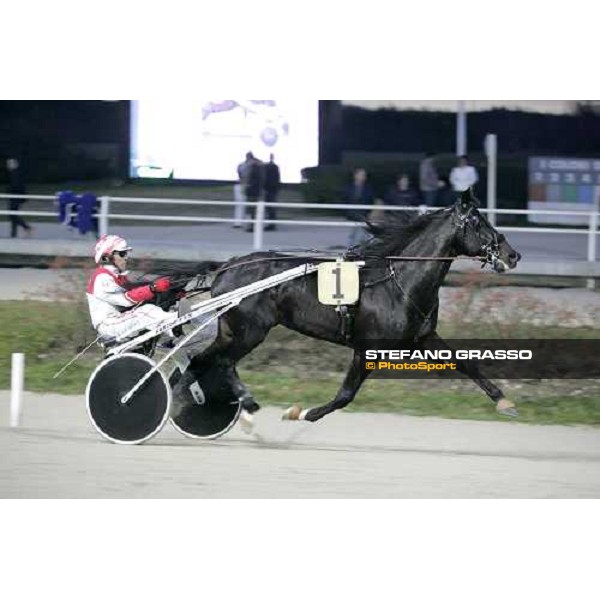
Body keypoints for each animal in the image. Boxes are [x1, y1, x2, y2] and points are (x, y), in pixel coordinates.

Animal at [165, 190, 520, 424]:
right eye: (478, 223)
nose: (512, 254)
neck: (398, 281)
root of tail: (225, 268)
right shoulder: (367, 348)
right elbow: (345, 395)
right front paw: (301, 412)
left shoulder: (423, 337)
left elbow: (467, 364)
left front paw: (505, 402)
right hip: (250, 330)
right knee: (221, 362)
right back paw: (238, 401)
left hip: (232, 330)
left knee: (200, 361)